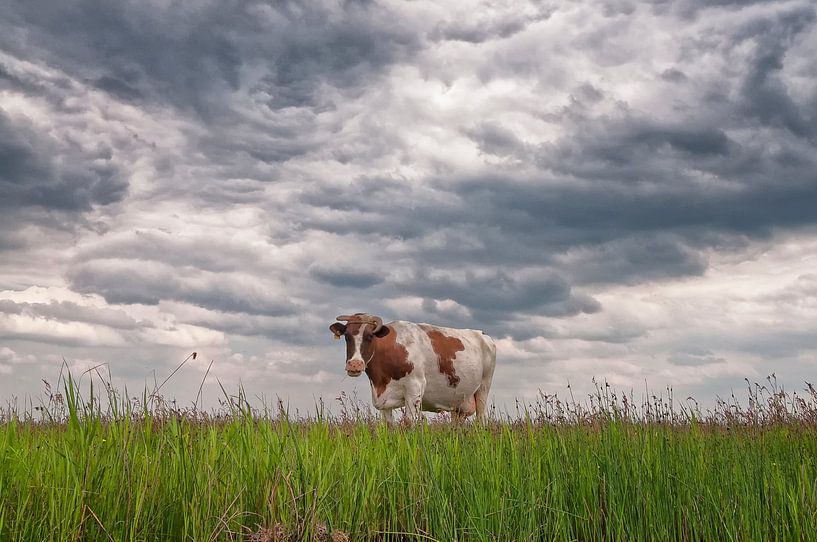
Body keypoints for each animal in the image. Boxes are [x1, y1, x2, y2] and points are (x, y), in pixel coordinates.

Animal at [329, 313, 496, 424]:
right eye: (347, 337)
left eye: (370, 336)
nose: (355, 364)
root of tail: (483, 334)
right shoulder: (383, 399)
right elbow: (387, 425)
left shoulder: (415, 388)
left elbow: (409, 422)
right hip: (458, 401)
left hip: (484, 387)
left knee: (481, 419)